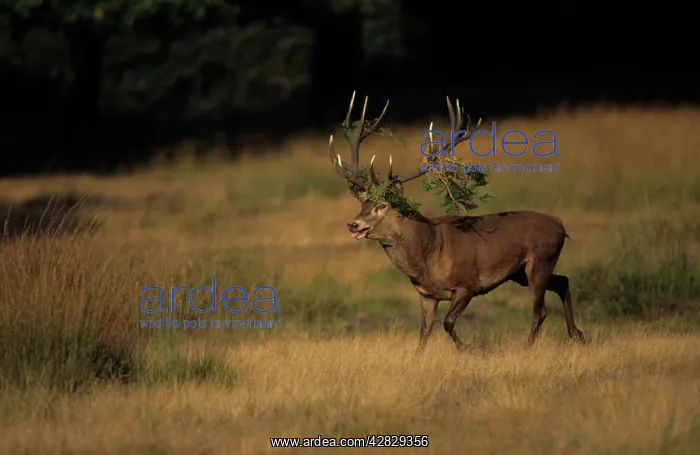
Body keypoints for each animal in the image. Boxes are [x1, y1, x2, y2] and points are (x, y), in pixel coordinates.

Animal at [327, 91, 586, 350]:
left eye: (381, 205)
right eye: (362, 204)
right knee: (563, 281)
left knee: (540, 310)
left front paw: (468, 349)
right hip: (520, 272)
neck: (428, 256)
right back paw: (577, 335)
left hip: (541, 260)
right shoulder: (426, 295)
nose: (353, 224)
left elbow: (447, 323)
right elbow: (423, 333)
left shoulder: (467, 284)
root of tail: (560, 226)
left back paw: (528, 346)